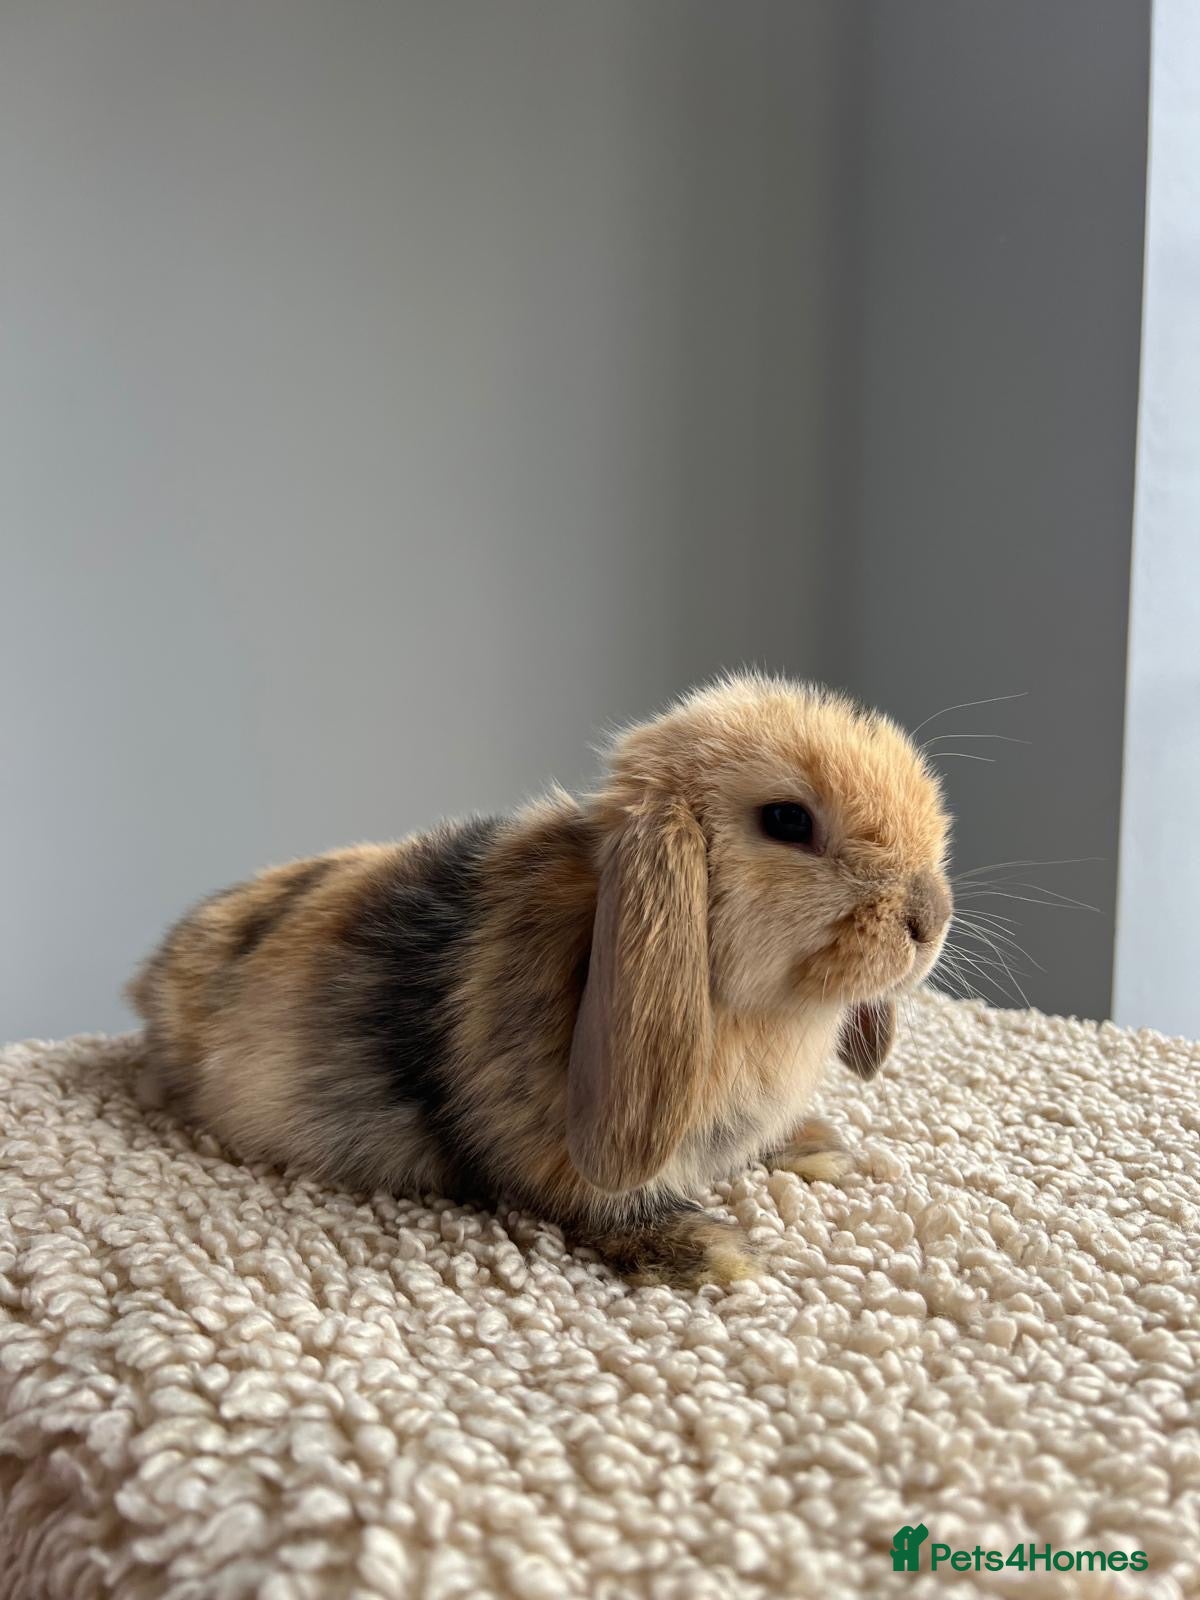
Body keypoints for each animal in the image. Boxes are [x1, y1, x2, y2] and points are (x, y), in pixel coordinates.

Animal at [128, 673, 951, 1286]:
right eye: (787, 820)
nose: (930, 917)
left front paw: (818, 1146)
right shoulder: (556, 1154)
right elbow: (600, 1209)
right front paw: (713, 1254)